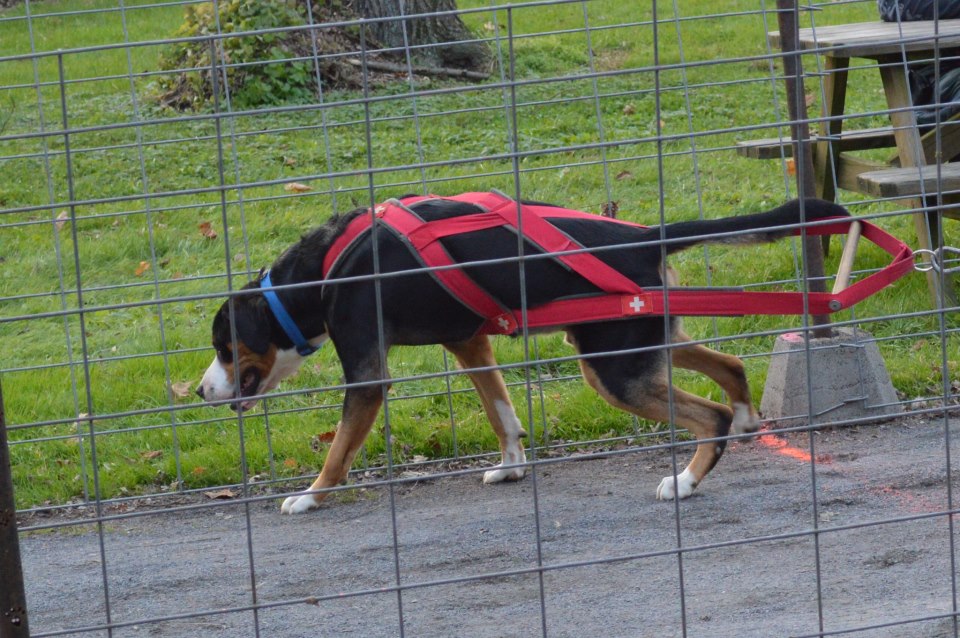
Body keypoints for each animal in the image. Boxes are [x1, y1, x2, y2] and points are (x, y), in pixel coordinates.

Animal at [197, 191, 848, 516]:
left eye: (225, 348)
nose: (200, 390)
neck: (328, 269)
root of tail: (642, 238)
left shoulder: (366, 375)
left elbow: (338, 451)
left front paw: (309, 496)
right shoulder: (470, 342)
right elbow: (500, 411)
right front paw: (511, 465)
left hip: (612, 370)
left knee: (705, 415)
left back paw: (686, 480)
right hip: (641, 341)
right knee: (730, 368)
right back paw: (744, 420)